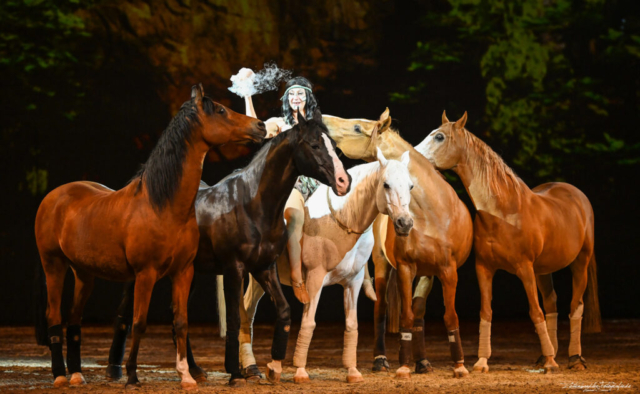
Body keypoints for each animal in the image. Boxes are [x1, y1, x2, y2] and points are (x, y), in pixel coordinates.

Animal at [34, 84, 264, 390]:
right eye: (221, 110)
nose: (260, 126)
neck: (162, 206)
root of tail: (53, 196)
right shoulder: (146, 274)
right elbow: (140, 322)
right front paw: (132, 376)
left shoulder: (183, 273)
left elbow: (181, 322)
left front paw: (186, 376)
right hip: (54, 266)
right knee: (54, 315)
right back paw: (60, 375)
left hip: (84, 273)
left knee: (74, 318)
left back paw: (77, 374)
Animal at [107, 109, 352, 386]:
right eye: (314, 145)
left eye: (334, 146)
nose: (344, 181)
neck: (252, 204)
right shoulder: (234, 268)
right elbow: (235, 318)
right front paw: (235, 372)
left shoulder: (263, 268)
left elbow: (284, 311)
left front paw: (274, 366)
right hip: (141, 274)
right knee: (125, 313)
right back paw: (116, 369)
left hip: (187, 273)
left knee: (177, 316)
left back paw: (194, 370)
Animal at [221, 148, 416, 382]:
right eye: (386, 184)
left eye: (411, 186)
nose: (405, 223)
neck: (342, 219)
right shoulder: (315, 278)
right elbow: (309, 322)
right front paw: (300, 371)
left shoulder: (354, 282)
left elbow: (351, 325)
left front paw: (353, 371)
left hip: (260, 276)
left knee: (248, 312)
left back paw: (252, 368)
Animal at [324, 111, 476, 378]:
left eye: (357, 127)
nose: (322, 120)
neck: (432, 213)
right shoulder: (406, 268)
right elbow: (405, 316)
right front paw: (404, 366)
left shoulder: (446, 271)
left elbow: (447, 316)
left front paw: (458, 365)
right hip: (383, 266)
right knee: (382, 309)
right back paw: (381, 359)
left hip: (427, 275)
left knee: (419, 313)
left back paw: (422, 361)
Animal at [422, 110, 604, 372]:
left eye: (439, 136)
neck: (503, 212)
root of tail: (578, 195)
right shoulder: (484, 269)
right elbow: (486, 312)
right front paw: (481, 362)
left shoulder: (524, 269)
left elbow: (535, 312)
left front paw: (551, 363)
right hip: (543, 270)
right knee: (552, 304)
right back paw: (547, 355)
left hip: (579, 263)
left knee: (574, 306)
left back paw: (574, 359)